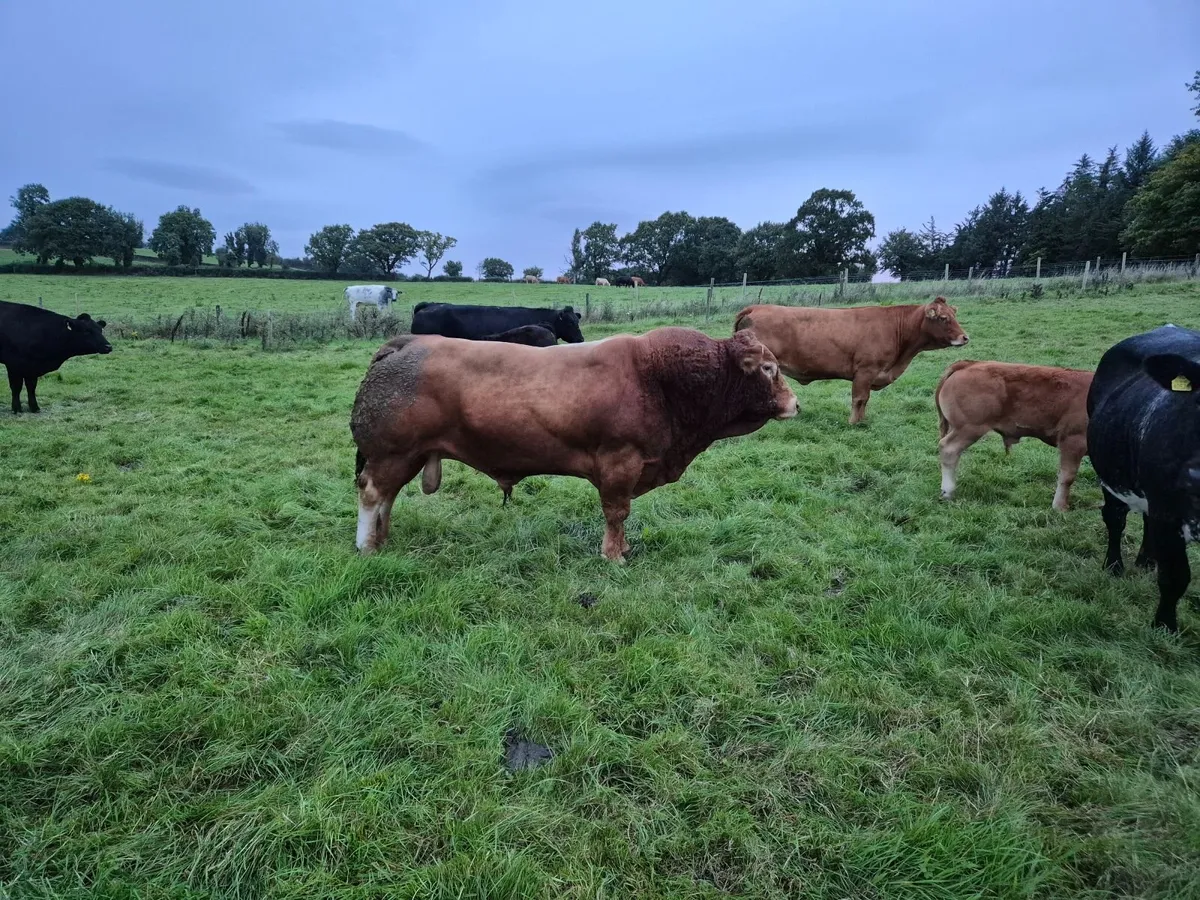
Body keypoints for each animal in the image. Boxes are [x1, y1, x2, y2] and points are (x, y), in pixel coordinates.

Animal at [350, 327, 798, 560]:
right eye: (768, 368)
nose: (796, 403)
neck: (660, 378)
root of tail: (409, 341)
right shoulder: (620, 461)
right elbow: (617, 512)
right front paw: (614, 555)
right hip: (392, 453)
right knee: (373, 494)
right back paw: (367, 546)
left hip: (404, 456)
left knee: (387, 497)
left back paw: (383, 539)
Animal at [734, 296, 969, 424]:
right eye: (944, 318)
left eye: (953, 315)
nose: (965, 337)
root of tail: (757, 307)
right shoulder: (865, 371)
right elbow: (859, 398)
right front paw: (853, 422)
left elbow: (865, 400)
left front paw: (862, 420)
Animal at [935, 360, 1093, 510]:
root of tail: (969, 364)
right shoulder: (1073, 440)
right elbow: (1067, 477)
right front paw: (1060, 507)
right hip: (969, 428)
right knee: (948, 449)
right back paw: (948, 492)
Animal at [1087, 324, 1200, 632]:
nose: (1195, 475)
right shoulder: (1169, 513)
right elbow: (1175, 577)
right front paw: (1165, 626)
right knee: (1115, 518)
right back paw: (1114, 566)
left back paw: (1147, 560)